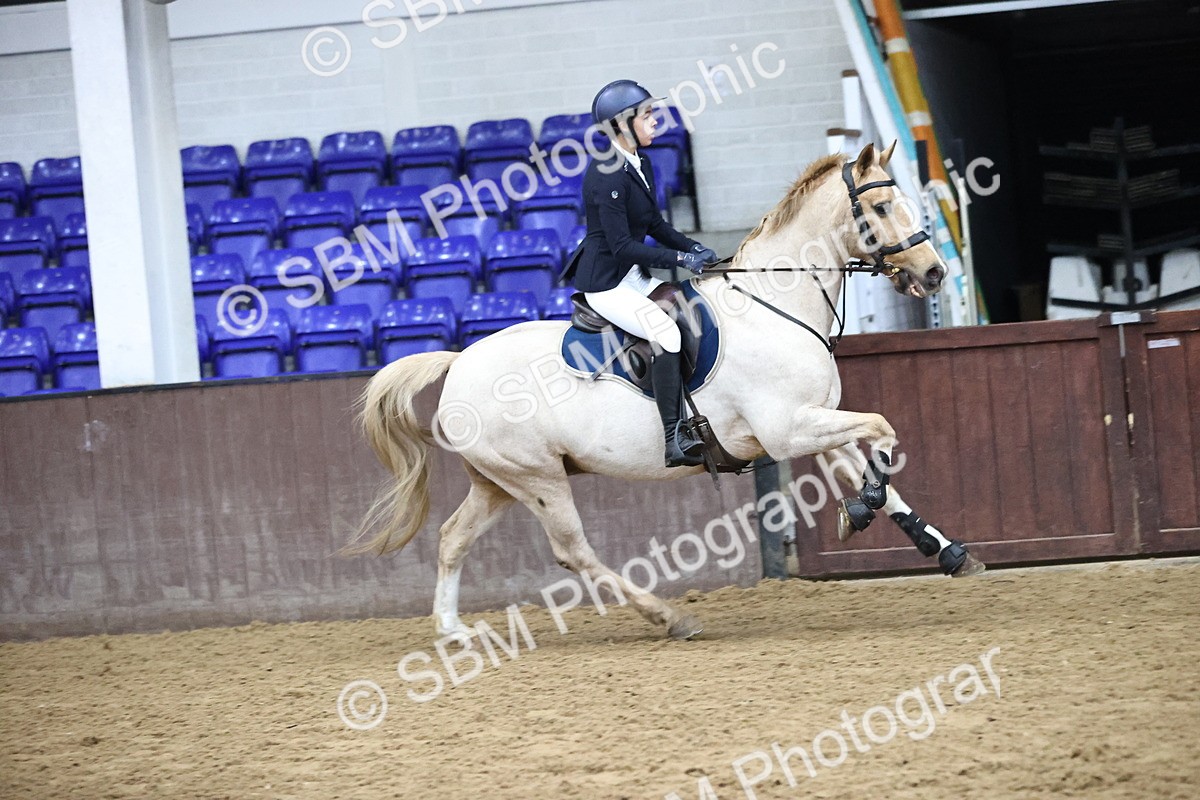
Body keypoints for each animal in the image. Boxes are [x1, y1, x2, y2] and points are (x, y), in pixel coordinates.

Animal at [344, 141, 985, 640]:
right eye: (880, 206)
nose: (933, 274)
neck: (774, 305)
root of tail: (459, 363)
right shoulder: (787, 430)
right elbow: (882, 432)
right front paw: (864, 509)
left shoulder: (813, 419)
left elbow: (875, 469)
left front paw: (946, 551)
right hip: (538, 478)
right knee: (573, 551)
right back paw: (668, 618)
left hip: (498, 482)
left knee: (453, 538)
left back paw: (452, 630)